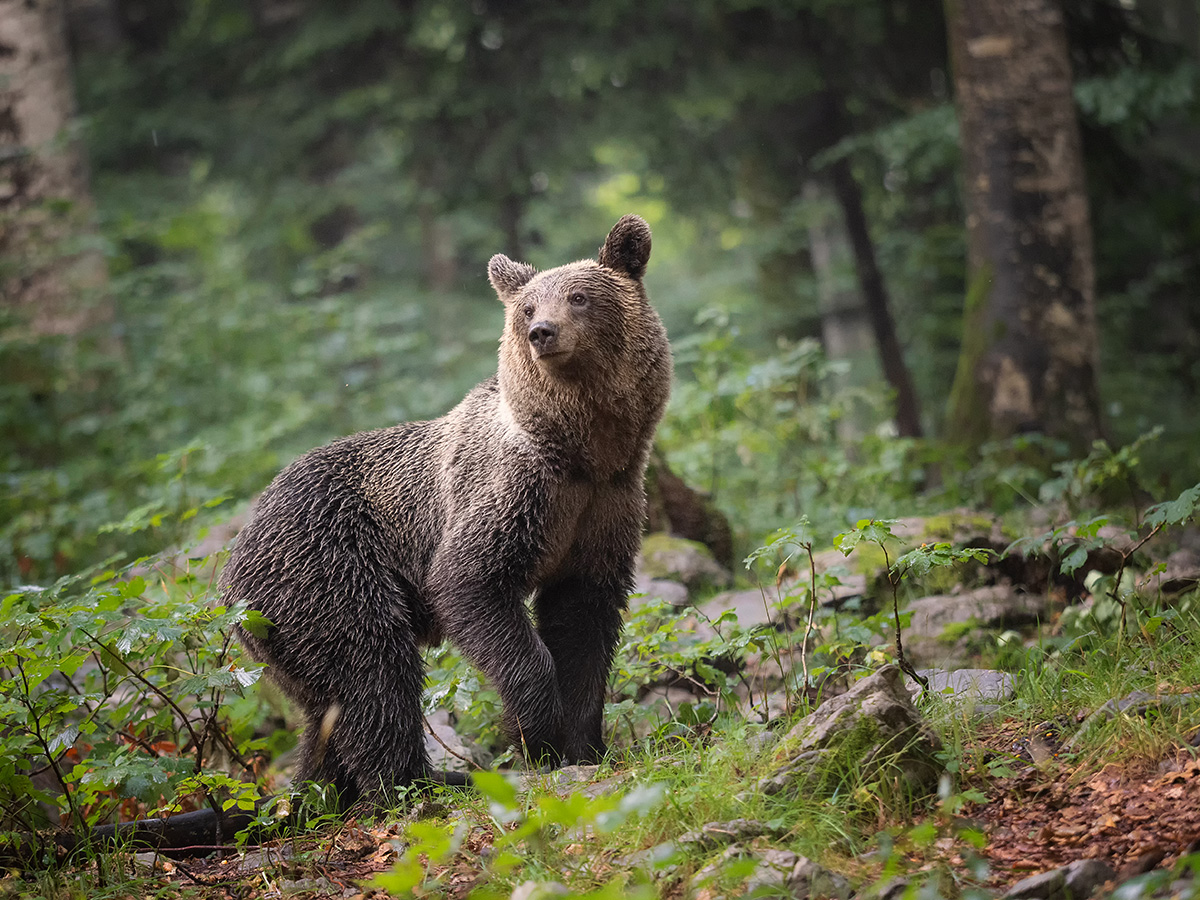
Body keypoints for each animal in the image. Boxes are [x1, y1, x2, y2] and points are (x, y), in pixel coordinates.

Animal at [223, 214, 676, 806]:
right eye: (527, 307)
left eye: (578, 297)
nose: (542, 332)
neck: (581, 452)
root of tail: (231, 564)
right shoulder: (514, 495)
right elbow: (470, 583)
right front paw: (538, 735)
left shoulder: (606, 509)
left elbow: (584, 624)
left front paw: (584, 744)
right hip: (328, 568)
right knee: (374, 670)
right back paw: (421, 781)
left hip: (286, 622)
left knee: (327, 703)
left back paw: (321, 791)